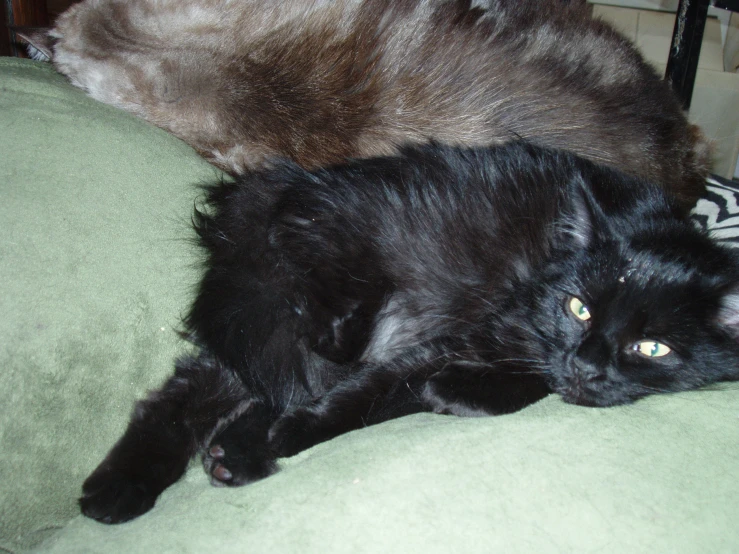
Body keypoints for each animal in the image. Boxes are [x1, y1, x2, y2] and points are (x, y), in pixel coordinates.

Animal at [79, 140, 739, 520]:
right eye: (579, 309)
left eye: (650, 347)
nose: (587, 362)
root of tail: (275, 188)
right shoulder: (465, 336)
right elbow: (360, 400)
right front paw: (290, 435)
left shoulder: (460, 350)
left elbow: (411, 395)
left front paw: (458, 392)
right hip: (330, 279)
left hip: (271, 338)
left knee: (191, 395)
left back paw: (157, 477)